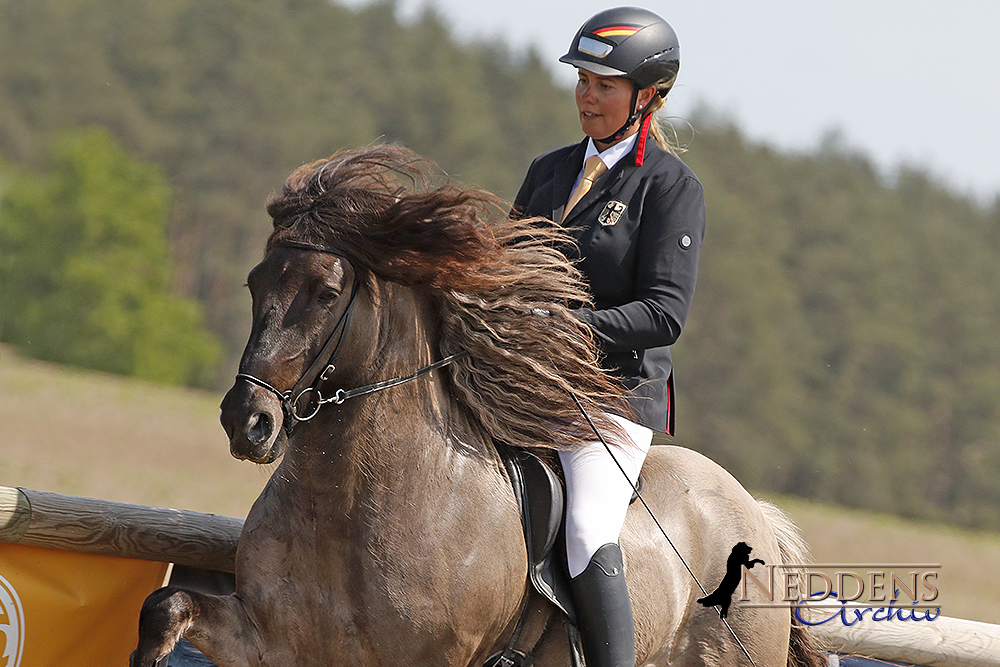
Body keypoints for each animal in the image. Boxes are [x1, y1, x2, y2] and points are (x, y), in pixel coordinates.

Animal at [131, 146, 820, 667]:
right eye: (255, 284)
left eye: (326, 292)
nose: (247, 420)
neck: (348, 505)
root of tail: (755, 514)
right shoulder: (276, 641)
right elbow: (168, 606)